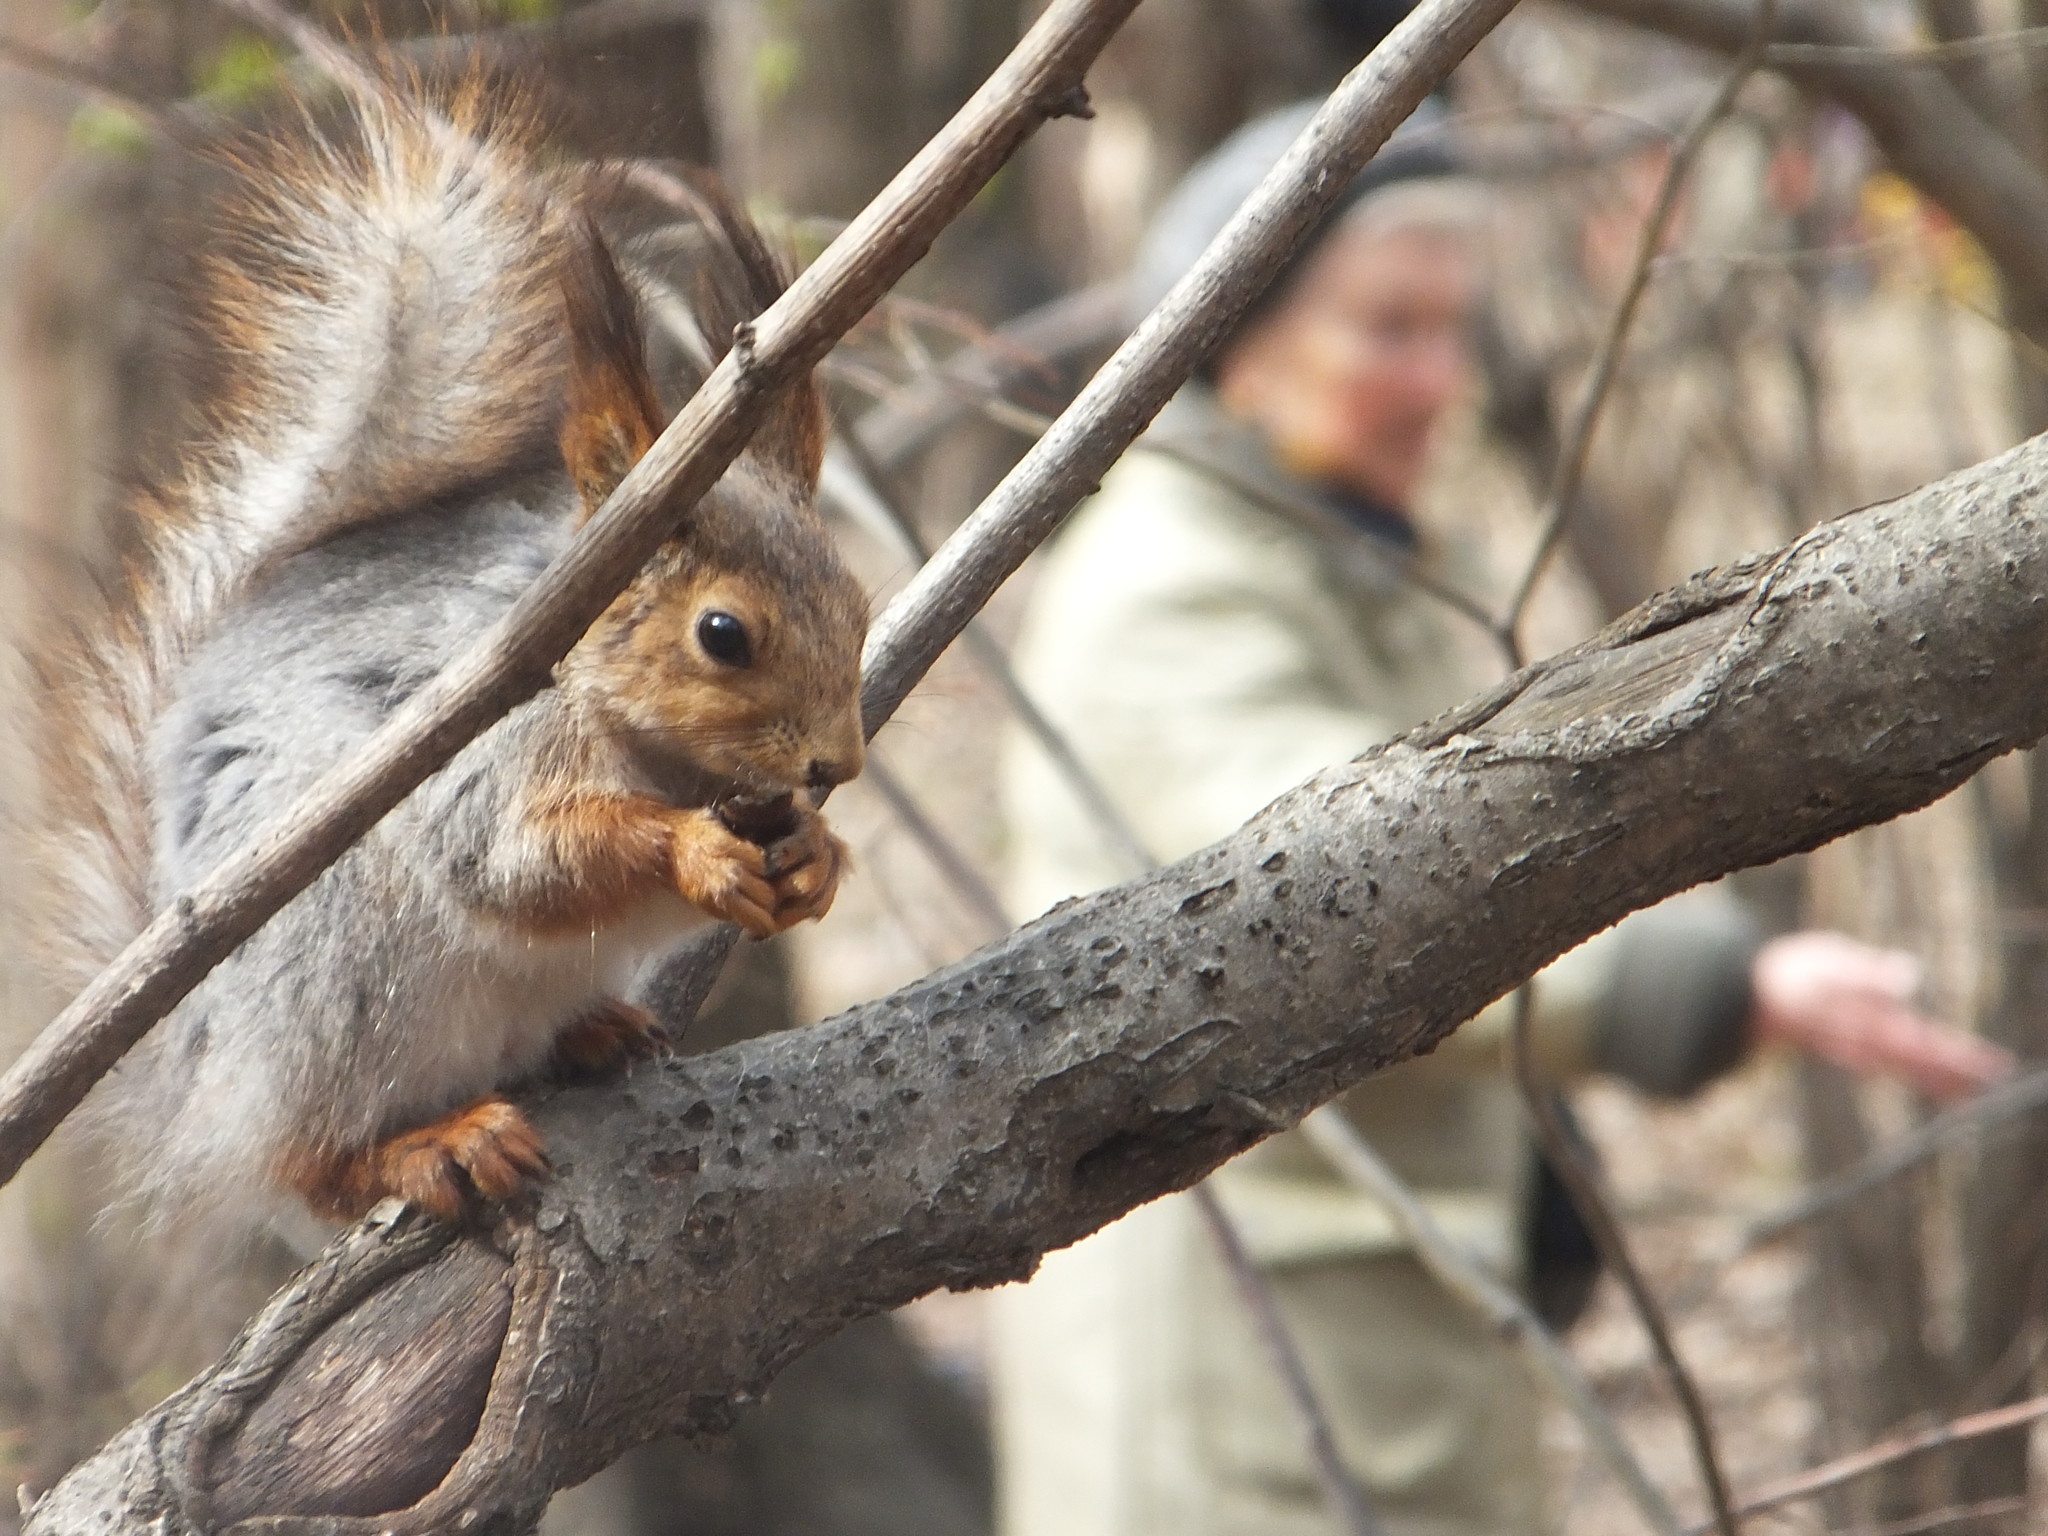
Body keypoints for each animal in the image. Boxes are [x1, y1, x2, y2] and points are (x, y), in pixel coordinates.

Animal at [32, 72, 868, 1236]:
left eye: (861, 603)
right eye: (723, 635)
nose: (839, 765)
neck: (649, 746)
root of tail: (198, 1088)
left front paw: (818, 857)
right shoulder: (488, 753)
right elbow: (515, 862)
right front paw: (694, 851)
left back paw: (591, 1033)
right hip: (329, 977)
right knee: (306, 1157)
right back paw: (427, 1147)